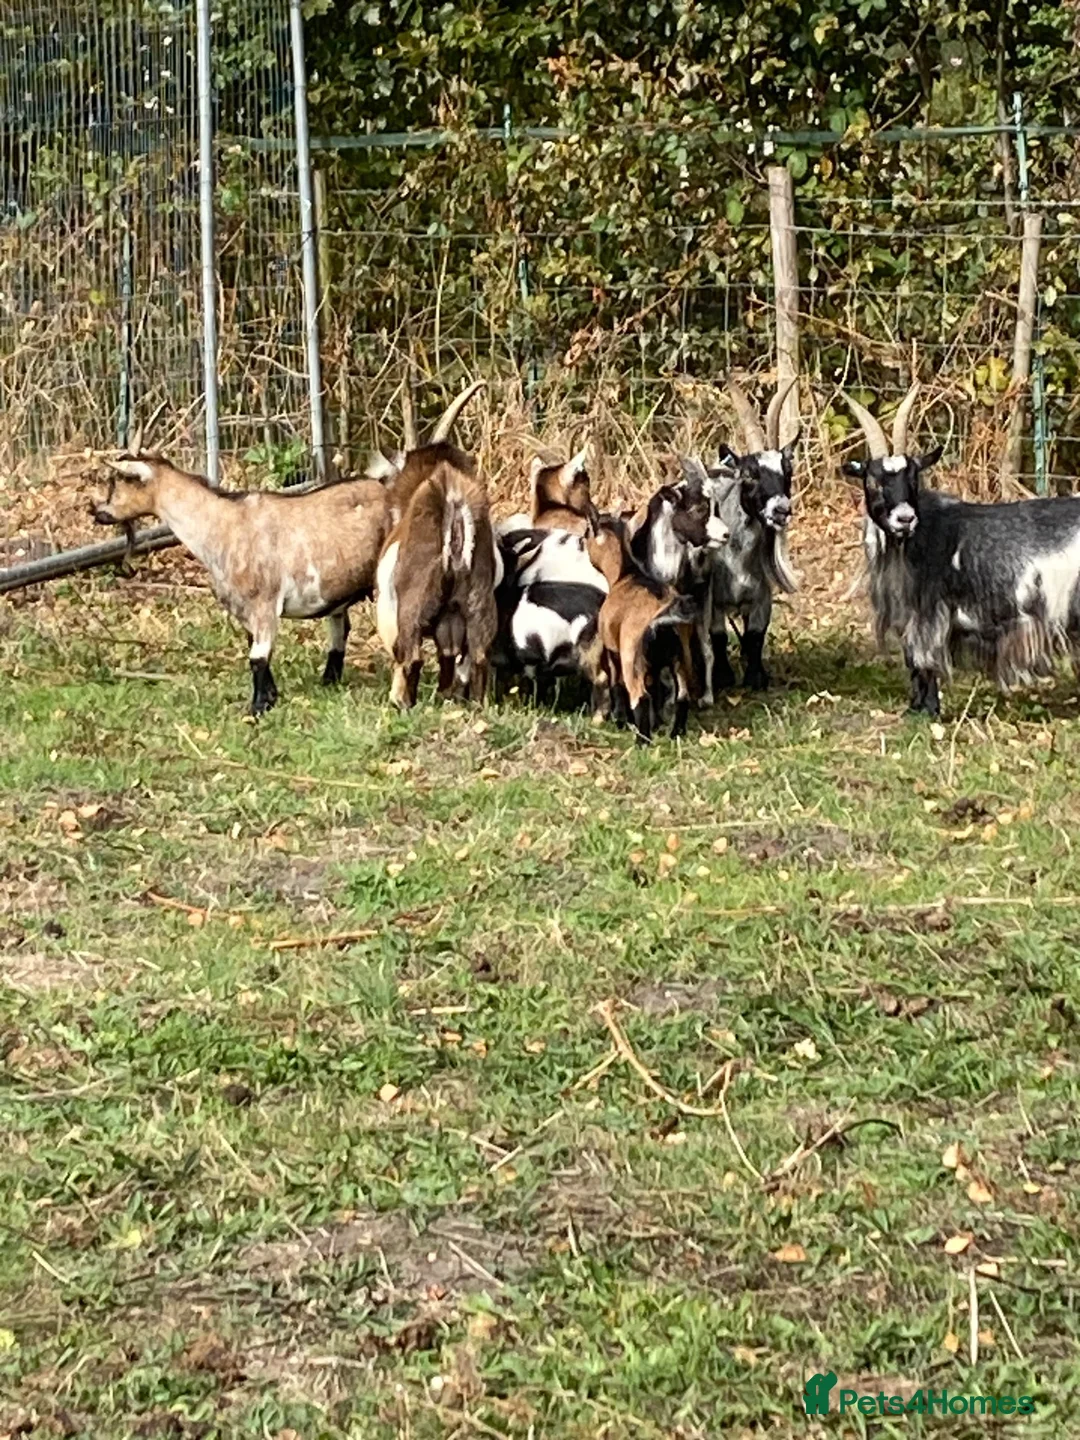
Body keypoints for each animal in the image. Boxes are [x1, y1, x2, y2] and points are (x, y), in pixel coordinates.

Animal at [92, 455, 390, 715]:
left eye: (120, 482)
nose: (98, 513)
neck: (225, 525)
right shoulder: (243, 606)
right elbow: (257, 649)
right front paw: (270, 697)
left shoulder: (265, 601)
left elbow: (257, 656)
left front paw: (257, 709)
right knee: (340, 624)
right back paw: (329, 679)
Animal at [375, 456, 498, 708]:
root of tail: (453, 500)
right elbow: (448, 655)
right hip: (479, 602)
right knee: (478, 656)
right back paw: (476, 705)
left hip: (413, 606)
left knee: (412, 657)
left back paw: (404, 703)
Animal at [588, 518, 698, 744]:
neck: (626, 574)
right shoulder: (653, 665)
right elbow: (655, 689)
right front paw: (657, 723)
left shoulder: (613, 651)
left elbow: (617, 685)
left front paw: (620, 721)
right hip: (682, 655)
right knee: (682, 696)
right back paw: (676, 733)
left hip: (631, 657)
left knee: (639, 696)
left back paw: (642, 741)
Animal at [683, 377, 800, 701]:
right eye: (749, 474)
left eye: (788, 470)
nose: (781, 510)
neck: (736, 560)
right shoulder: (714, 600)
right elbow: (718, 636)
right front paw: (723, 677)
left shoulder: (762, 596)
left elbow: (755, 634)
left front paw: (756, 676)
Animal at [843, 383, 1080, 716]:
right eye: (873, 480)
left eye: (913, 477)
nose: (905, 518)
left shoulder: (930, 613)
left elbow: (922, 660)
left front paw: (925, 711)